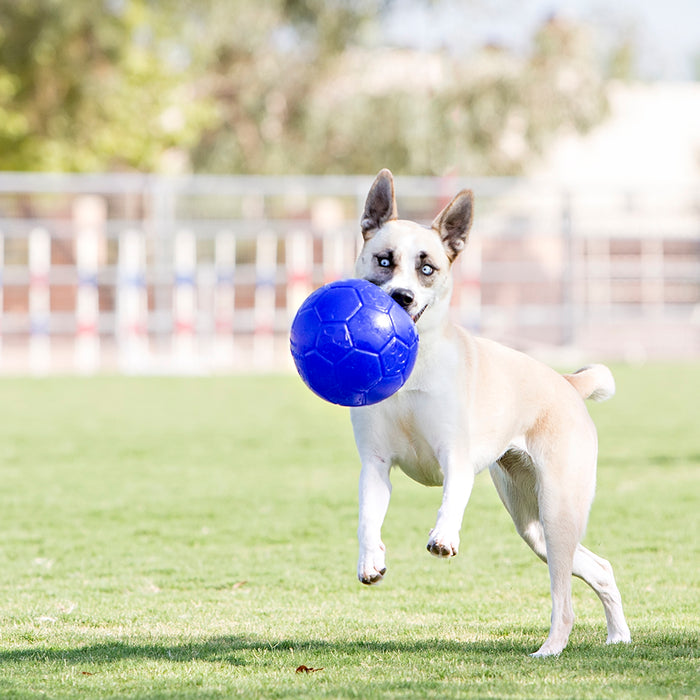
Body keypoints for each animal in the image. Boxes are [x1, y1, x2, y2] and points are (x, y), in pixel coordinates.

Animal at [352, 170, 632, 656]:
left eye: (427, 269)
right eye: (384, 260)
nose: (402, 297)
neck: (414, 364)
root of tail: (566, 383)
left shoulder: (456, 457)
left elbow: (451, 499)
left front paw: (443, 537)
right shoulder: (376, 463)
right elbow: (370, 515)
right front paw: (371, 560)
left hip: (558, 508)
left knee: (564, 599)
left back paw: (551, 648)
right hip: (530, 521)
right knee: (599, 567)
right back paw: (619, 635)